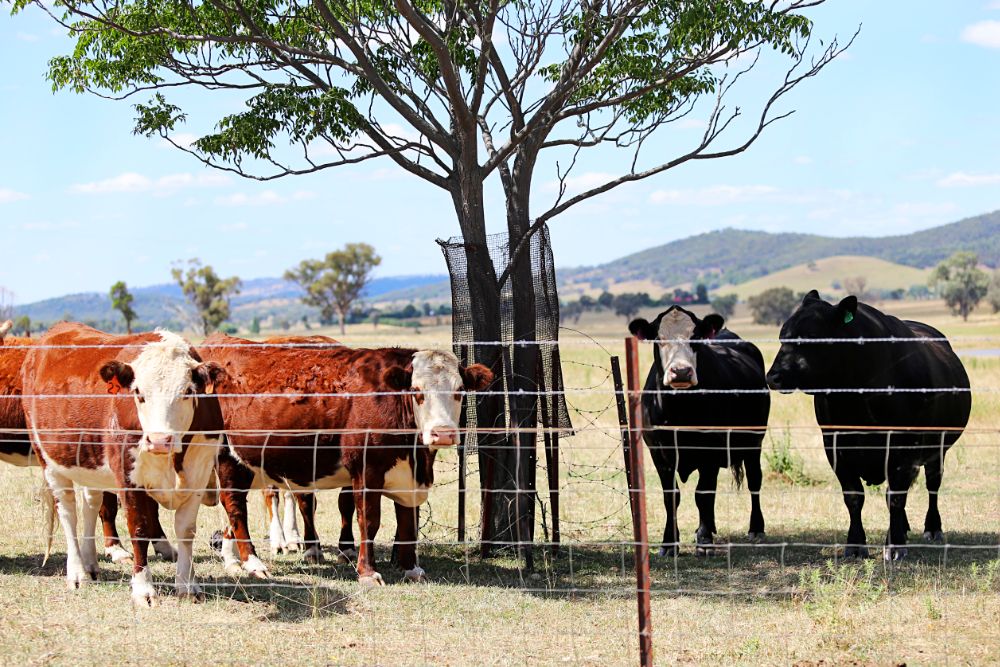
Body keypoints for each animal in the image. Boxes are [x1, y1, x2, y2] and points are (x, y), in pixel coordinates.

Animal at [22, 324, 227, 604]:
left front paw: (187, 585)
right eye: (138, 393)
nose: (159, 440)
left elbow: (186, 530)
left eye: (187, 392)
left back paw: (90, 562)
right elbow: (139, 528)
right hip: (50, 463)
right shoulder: (129, 478)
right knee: (68, 513)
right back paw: (77, 573)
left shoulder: (199, 474)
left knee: (90, 504)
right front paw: (143, 589)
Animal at [200, 336, 492, 588]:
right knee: (235, 506)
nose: (443, 433)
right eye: (416, 391)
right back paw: (253, 563)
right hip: (227, 457)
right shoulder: (366, 470)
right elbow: (369, 520)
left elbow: (408, 521)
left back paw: (233, 560)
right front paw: (367, 572)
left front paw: (411, 568)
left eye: (459, 390)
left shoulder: (409, 476)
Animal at [628, 306, 768, 556]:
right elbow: (671, 496)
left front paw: (704, 542)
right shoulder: (658, 452)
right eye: (659, 339)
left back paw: (755, 528)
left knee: (754, 480)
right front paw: (669, 543)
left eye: (696, 338)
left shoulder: (710, 450)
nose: (681, 371)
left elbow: (703, 494)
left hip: (754, 441)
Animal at [764, 294, 968, 560]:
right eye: (782, 336)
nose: (773, 376)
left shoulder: (903, 446)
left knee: (932, 486)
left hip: (938, 449)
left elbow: (895, 497)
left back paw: (932, 529)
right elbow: (854, 497)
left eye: (809, 336)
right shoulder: (835, 445)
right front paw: (855, 545)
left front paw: (894, 546)